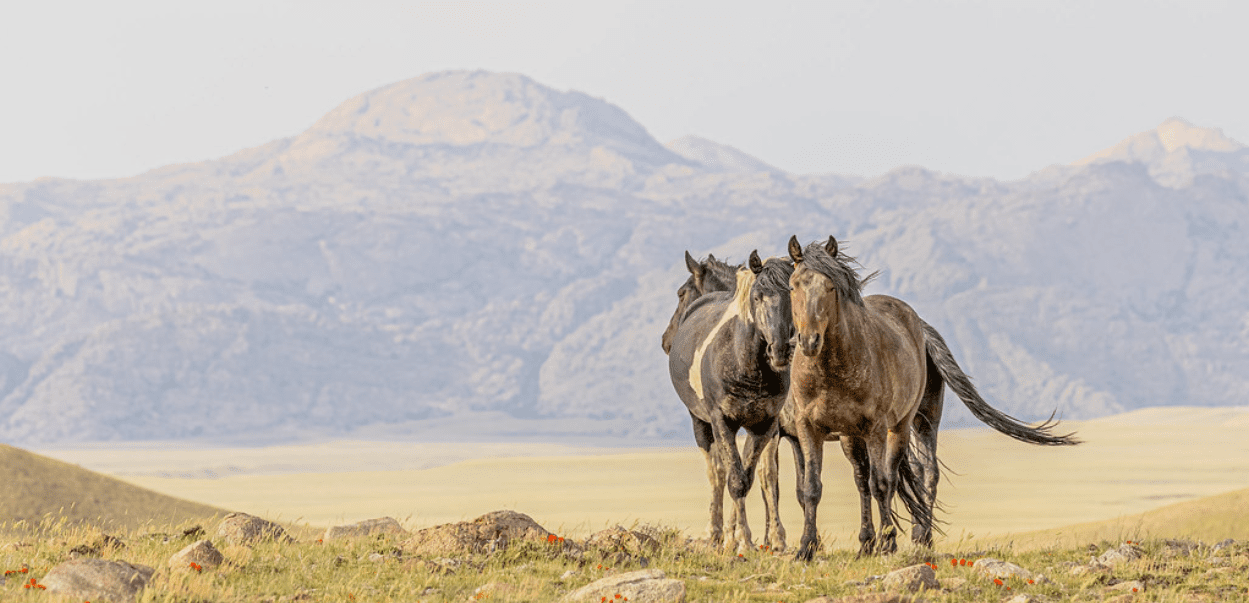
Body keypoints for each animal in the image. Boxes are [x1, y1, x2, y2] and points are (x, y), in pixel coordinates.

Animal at [669, 248, 794, 551]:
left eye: (793, 293)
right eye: (758, 296)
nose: (780, 350)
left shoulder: (765, 425)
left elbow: (751, 477)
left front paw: (744, 537)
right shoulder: (722, 421)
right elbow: (736, 478)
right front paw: (740, 539)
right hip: (700, 422)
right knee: (716, 472)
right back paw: (714, 532)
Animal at [784, 237, 1079, 561]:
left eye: (830, 287)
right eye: (793, 286)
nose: (809, 341)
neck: (833, 368)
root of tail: (919, 325)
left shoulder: (875, 428)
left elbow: (881, 483)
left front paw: (888, 542)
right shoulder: (809, 429)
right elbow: (812, 488)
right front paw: (806, 548)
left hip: (913, 422)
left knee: (918, 473)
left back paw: (919, 538)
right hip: (853, 436)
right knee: (864, 480)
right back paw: (869, 543)